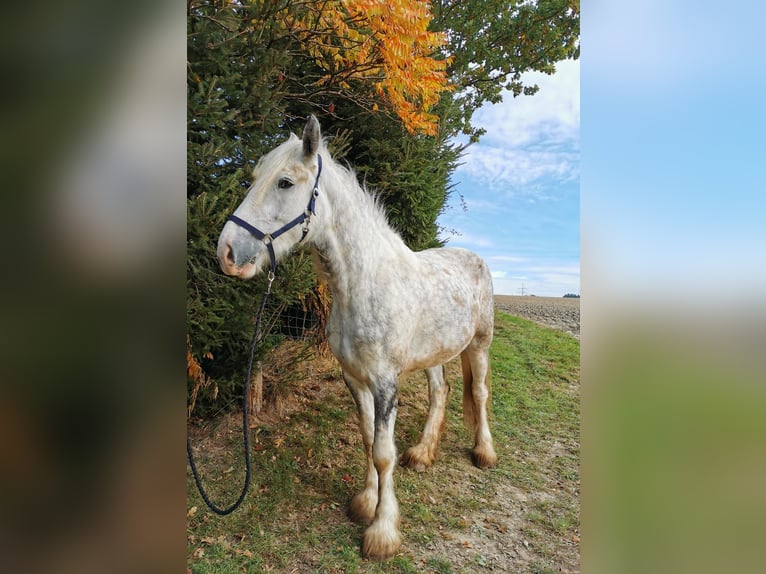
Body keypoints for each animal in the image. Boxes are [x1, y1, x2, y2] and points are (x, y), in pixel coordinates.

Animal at [217, 115, 497, 560]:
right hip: (435, 354)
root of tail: (474, 258)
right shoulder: (355, 378)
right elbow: (367, 440)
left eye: (285, 182)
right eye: (253, 179)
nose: (227, 252)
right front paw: (366, 503)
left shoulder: (385, 383)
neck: (363, 284)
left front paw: (382, 532)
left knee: (480, 393)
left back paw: (484, 452)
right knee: (442, 392)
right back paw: (423, 454)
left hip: (480, 344)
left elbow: (383, 453)